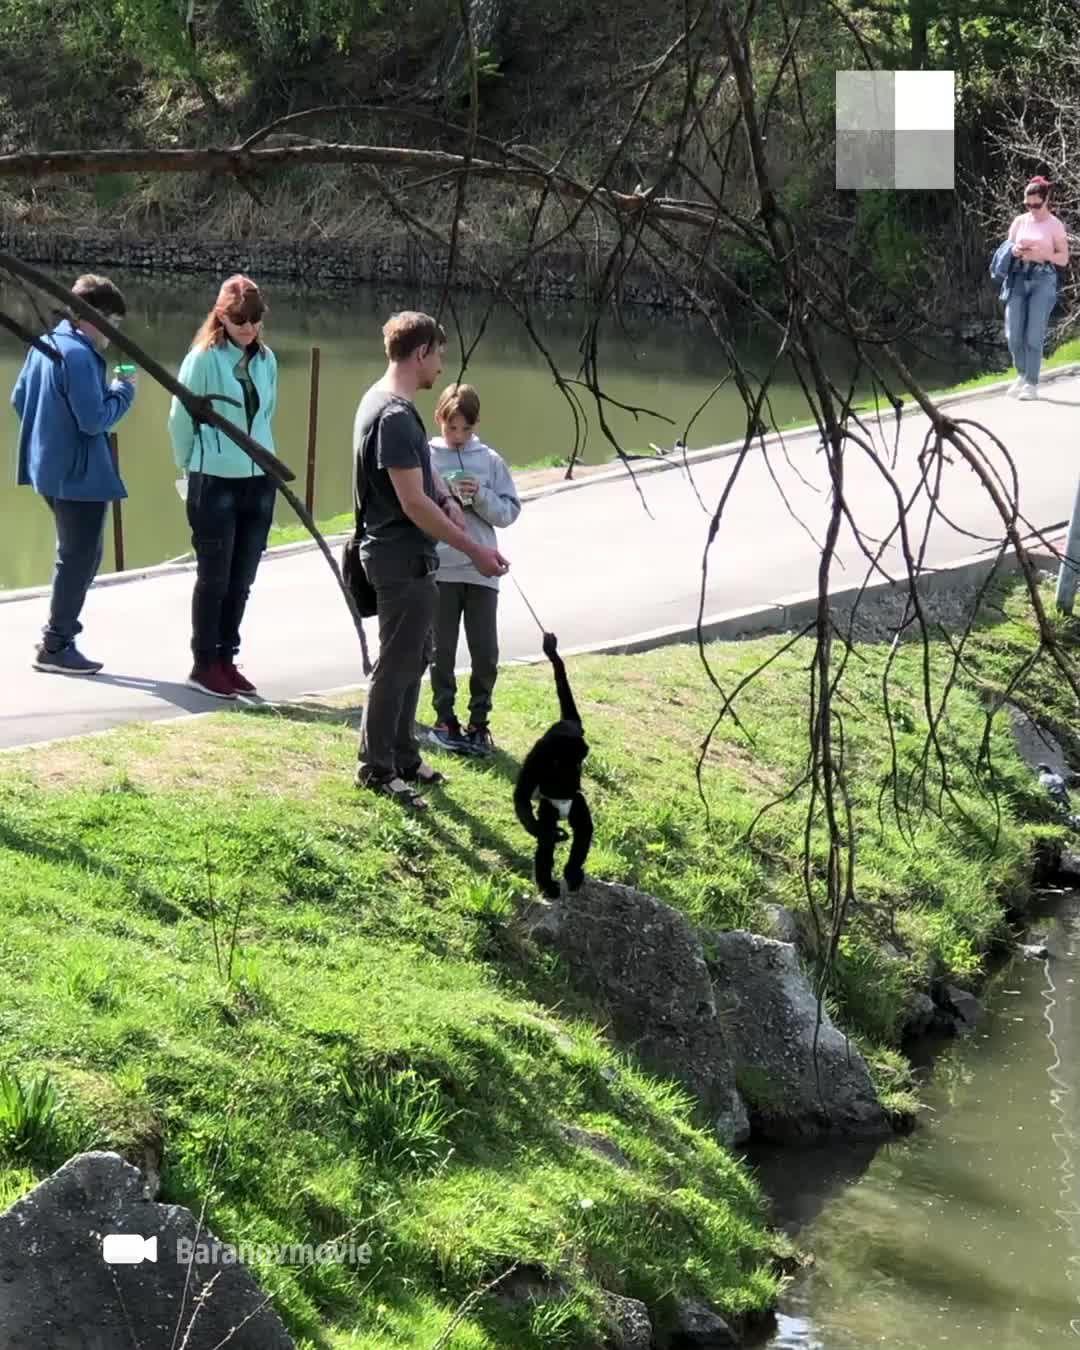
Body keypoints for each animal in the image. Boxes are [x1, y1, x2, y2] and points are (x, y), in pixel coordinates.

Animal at [513, 629, 594, 896]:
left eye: (578, 762)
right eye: (562, 761)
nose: (585, 749)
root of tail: (562, 811)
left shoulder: (573, 726)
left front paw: (554, 655)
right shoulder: (538, 755)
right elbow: (522, 795)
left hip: (574, 802)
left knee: (582, 828)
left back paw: (572, 872)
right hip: (549, 805)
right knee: (548, 837)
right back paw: (547, 883)